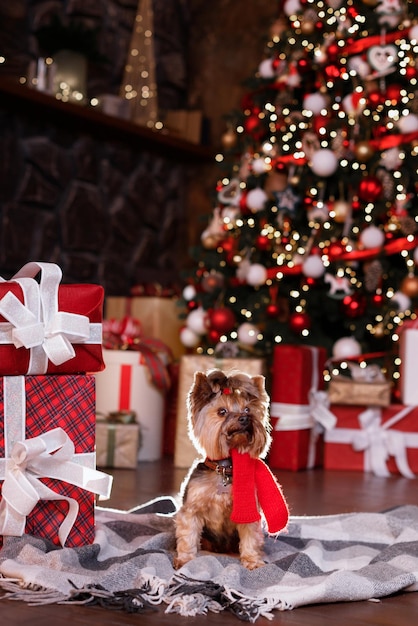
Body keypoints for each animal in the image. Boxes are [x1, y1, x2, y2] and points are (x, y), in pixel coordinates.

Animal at [173, 368, 288, 568]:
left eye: (248, 409)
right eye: (222, 411)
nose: (245, 418)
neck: (225, 468)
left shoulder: (248, 510)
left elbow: (250, 536)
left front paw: (252, 561)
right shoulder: (192, 509)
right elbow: (188, 535)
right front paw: (185, 560)